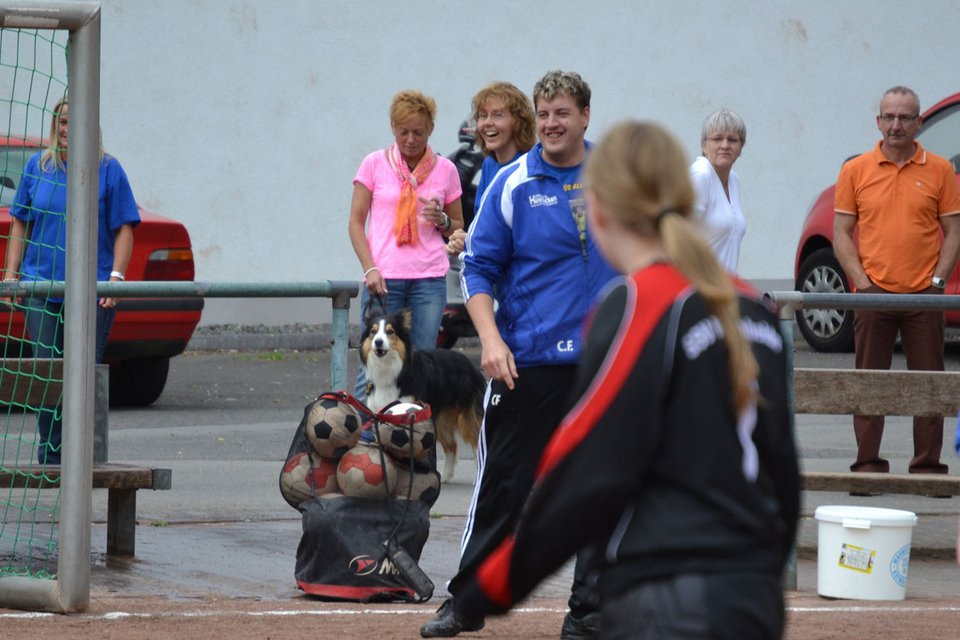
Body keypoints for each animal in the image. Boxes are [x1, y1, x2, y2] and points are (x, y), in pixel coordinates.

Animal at [360, 308, 484, 480]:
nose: (378, 342)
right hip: (441, 418)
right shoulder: (379, 413)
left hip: (467, 418)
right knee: (452, 445)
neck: (392, 371)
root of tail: (472, 366)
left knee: (477, 442)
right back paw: (445, 476)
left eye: (390, 331)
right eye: (373, 332)